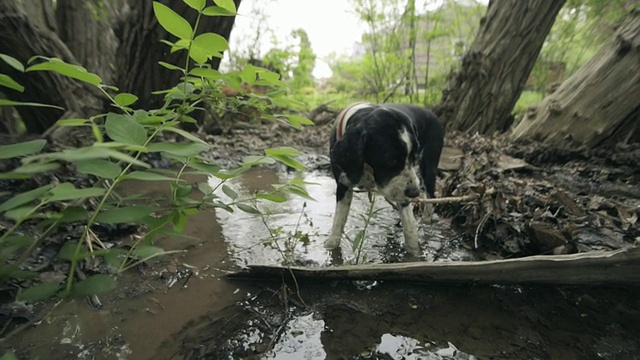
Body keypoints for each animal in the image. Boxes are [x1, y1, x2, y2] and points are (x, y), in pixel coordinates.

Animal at [324, 102, 444, 256]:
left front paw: (415, 253)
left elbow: (409, 226)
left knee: (430, 196)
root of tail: (430, 112)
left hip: (429, 166)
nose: (414, 193)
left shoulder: (403, 190)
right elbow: (339, 219)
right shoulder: (343, 183)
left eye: (414, 157)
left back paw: (425, 220)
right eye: (390, 159)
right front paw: (331, 245)